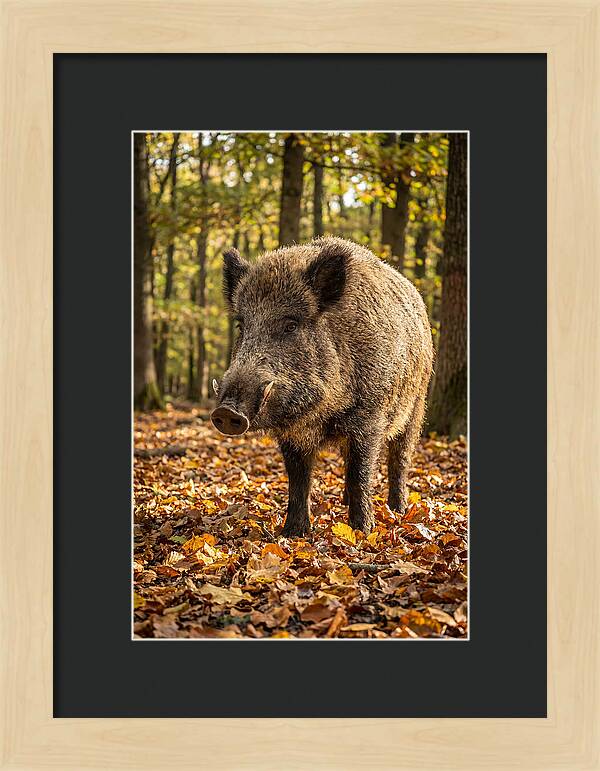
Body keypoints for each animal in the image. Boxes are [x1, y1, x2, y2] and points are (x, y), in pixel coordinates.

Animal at [211, 236, 433, 537]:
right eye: (241, 325)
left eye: (290, 325)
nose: (226, 411)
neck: (320, 413)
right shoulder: (292, 434)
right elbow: (298, 479)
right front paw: (293, 533)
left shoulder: (370, 418)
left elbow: (361, 473)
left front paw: (362, 531)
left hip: (416, 404)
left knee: (400, 458)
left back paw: (397, 510)